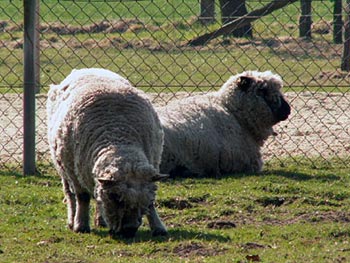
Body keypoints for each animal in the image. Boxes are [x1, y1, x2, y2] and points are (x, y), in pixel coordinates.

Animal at [47, 68, 167, 239]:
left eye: (143, 202)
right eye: (115, 198)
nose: (129, 230)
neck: (119, 137)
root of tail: (86, 69)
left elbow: (150, 204)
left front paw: (158, 227)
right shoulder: (75, 172)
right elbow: (82, 197)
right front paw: (81, 225)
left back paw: (100, 220)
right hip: (63, 167)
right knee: (70, 195)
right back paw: (72, 220)